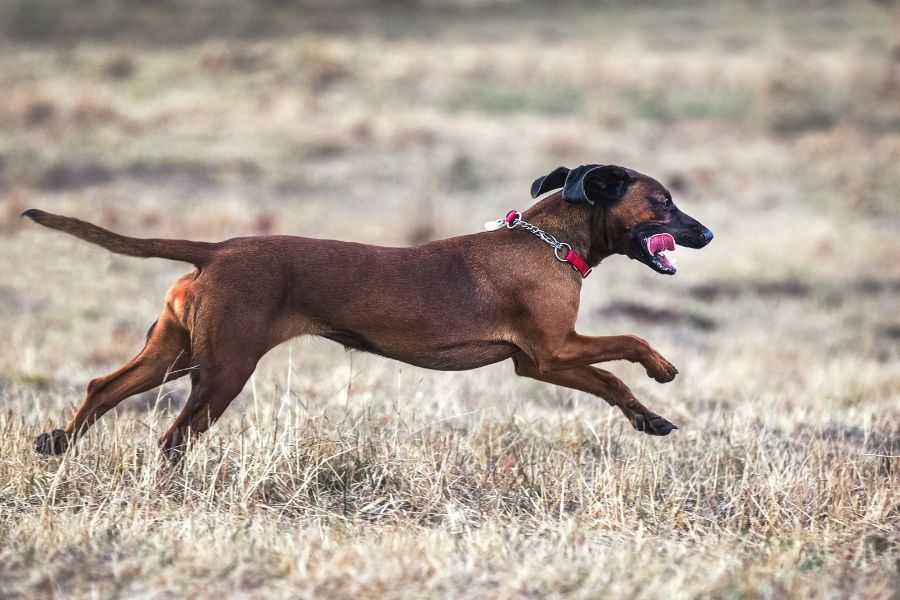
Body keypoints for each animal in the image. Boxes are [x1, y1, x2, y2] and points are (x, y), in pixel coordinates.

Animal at [24, 162, 712, 458]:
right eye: (664, 201)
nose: (706, 233)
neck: (548, 242)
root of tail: (216, 250)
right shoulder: (553, 351)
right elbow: (627, 346)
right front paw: (661, 369)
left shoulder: (541, 362)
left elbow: (609, 383)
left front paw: (648, 418)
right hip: (221, 371)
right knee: (171, 438)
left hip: (174, 354)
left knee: (103, 386)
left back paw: (57, 441)